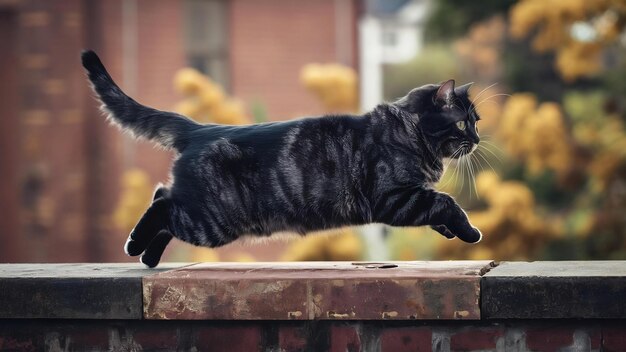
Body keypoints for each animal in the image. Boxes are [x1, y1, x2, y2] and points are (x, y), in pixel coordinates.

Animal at [81, 49, 482, 268]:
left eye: (476, 121)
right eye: (464, 122)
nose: (478, 139)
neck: (409, 131)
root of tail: (199, 129)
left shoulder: (413, 196)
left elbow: (439, 208)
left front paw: (452, 231)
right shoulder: (395, 197)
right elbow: (446, 203)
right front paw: (469, 232)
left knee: (162, 196)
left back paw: (147, 258)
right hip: (211, 222)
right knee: (162, 205)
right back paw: (135, 246)